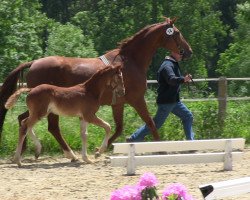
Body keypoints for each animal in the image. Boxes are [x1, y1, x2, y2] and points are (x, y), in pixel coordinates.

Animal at [0, 17, 193, 158]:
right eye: (177, 33)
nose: (189, 51)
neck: (129, 61)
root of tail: (33, 63)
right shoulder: (137, 99)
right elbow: (150, 123)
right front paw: (160, 148)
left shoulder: (118, 103)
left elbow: (119, 127)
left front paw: (101, 150)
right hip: (48, 107)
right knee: (50, 127)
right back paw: (68, 154)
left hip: (40, 106)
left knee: (23, 119)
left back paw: (28, 150)